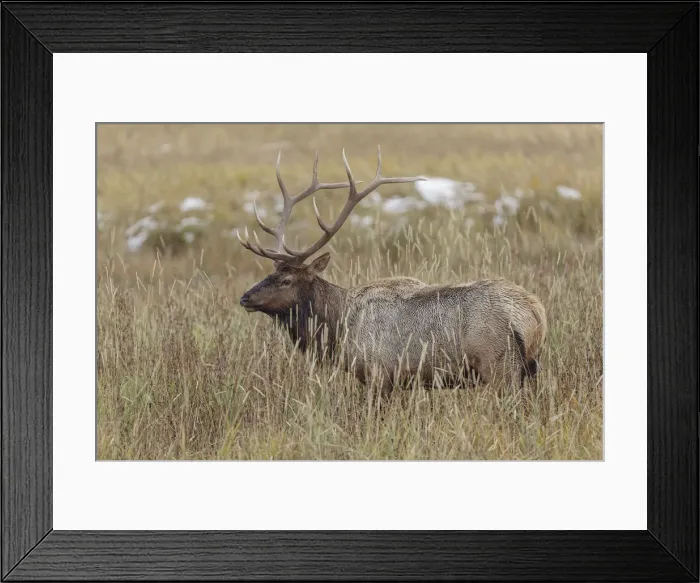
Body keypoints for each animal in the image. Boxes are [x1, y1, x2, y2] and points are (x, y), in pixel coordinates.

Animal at [237, 147, 547, 393]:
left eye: (286, 280)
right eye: (269, 274)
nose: (245, 297)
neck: (339, 328)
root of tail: (535, 314)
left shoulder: (379, 374)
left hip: (499, 366)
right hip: (529, 369)